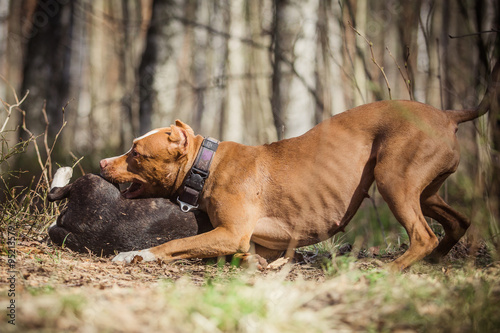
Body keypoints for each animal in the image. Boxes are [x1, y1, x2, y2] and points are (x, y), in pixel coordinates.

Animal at [100, 97, 492, 268]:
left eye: (136, 152)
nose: (103, 162)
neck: (205, 164)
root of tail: (447, 114)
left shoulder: (230, 233)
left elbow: (174, 243)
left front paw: (134, 254)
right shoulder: (254, 242)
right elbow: (246, 255)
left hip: (393, 180)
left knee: (424, 235)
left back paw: (391, 270)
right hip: (424, 192)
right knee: (458, 222)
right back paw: (436, 261)